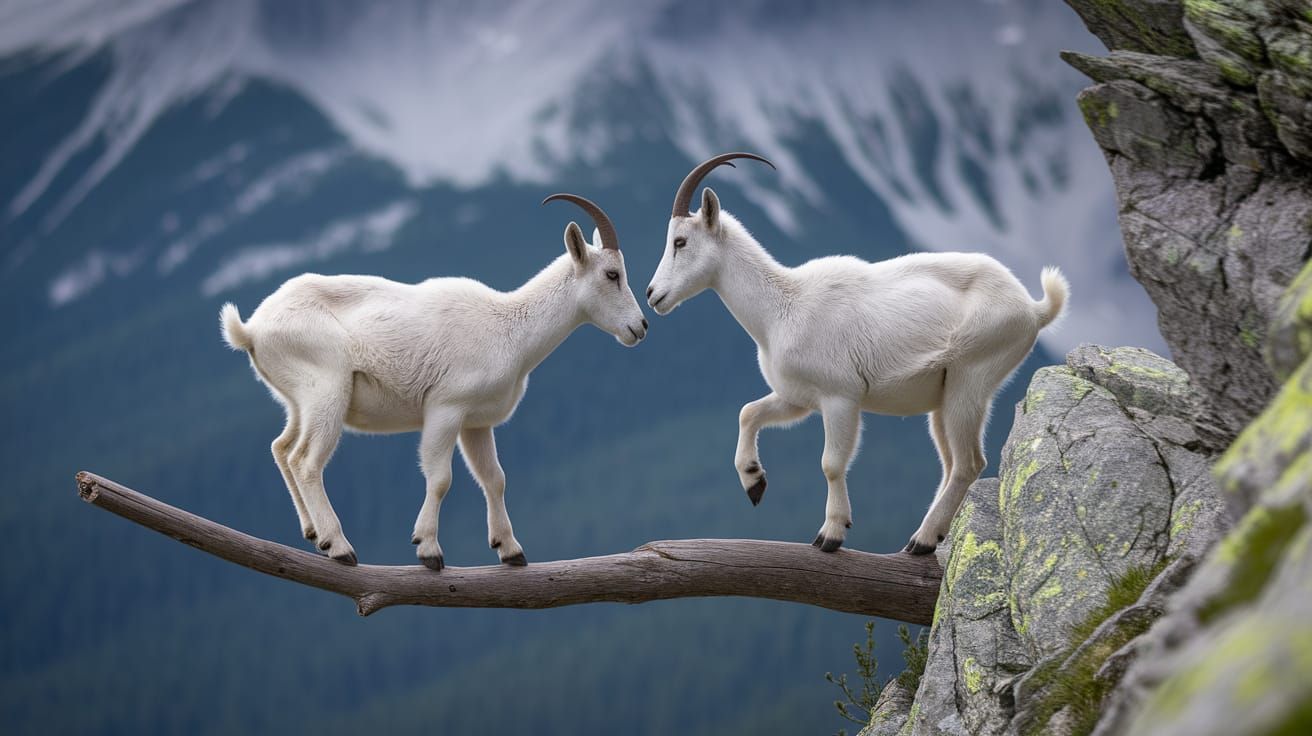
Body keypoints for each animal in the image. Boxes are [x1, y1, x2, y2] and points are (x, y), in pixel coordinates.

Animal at [220, 194, 647, 570]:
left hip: (298, 401)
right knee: (305, 460)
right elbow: (441, 478)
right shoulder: (446, 408)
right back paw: (339, 546)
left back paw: (313, 533)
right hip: (327, 390)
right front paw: (428, 549)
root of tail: (252, 330)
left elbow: (494, 478)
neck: (509, 329)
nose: (639, 326)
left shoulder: (477, 423)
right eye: (612, 274)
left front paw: (510, 550)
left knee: (281, 447)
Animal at [646, 153, 1068, 555]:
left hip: (972, 379)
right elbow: (748, 412)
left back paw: (922, 540)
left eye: (680, 241)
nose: (652, 295)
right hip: (945, 399)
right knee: (951, 464)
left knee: (969, 463)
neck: (781, 308)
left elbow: (831, 464)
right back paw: (926, 539)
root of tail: (1033, 308)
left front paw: (831, 535)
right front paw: (754, 483)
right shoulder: (797, 398)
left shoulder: (841, 397)